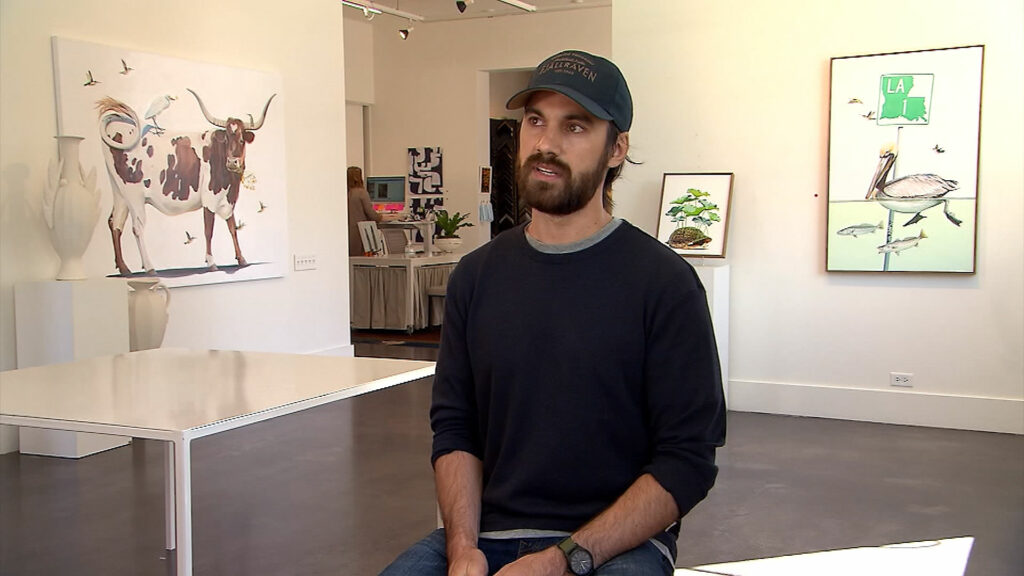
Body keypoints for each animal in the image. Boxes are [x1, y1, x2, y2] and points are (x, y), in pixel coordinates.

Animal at [96, 90, 276, 274]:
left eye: (241, 140)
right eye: (226, 139)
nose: (233, 162)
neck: (231, 184)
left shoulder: (228, 200)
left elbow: (232, 228)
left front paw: (241, 259)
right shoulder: (209, 198)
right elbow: (208, 230)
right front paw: (211, 262)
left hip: (120, 193)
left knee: (115, 222)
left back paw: (124, 268)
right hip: (134, 195)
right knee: (137, 228)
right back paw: (149, 267)